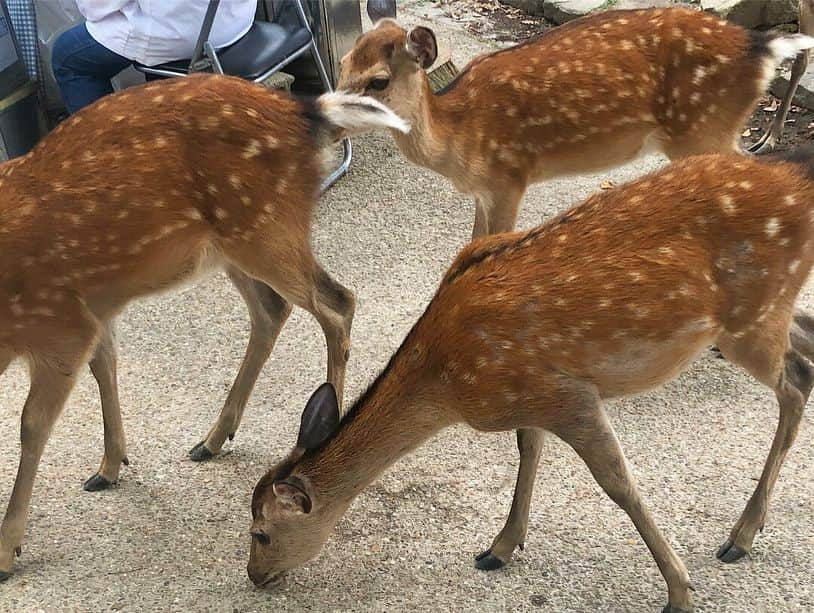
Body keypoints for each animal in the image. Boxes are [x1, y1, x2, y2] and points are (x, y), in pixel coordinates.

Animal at [0, 73, 408, 580]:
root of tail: (307, 111)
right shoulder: (95, 305)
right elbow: (105, 365)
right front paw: (110, 465)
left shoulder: (60, 323)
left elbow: (32, 423)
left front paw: (7, 549)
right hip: (231, 245)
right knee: (272, 310)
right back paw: (212, 439)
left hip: (265, 230)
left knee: (338, 302)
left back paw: (319, 442)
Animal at [250, 148, 814, 612]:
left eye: (259, 533)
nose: (254, 577)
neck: (451, 383)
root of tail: (799, 180)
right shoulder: (529, 392)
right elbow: (529, 450)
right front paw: (499, 547)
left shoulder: (569, 395)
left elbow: (619, 486)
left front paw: (679, 592)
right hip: (766, 313)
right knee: (805, 342)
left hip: (748, 320)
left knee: (796, 381)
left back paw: (740, 536)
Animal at [342, 3, 814, 238]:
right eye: (343, 64)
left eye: (379, 81)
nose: (331, 115)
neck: (458, 137)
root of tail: (761, 47)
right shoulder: (483, 190)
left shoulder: (508, 176)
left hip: (702, 127)